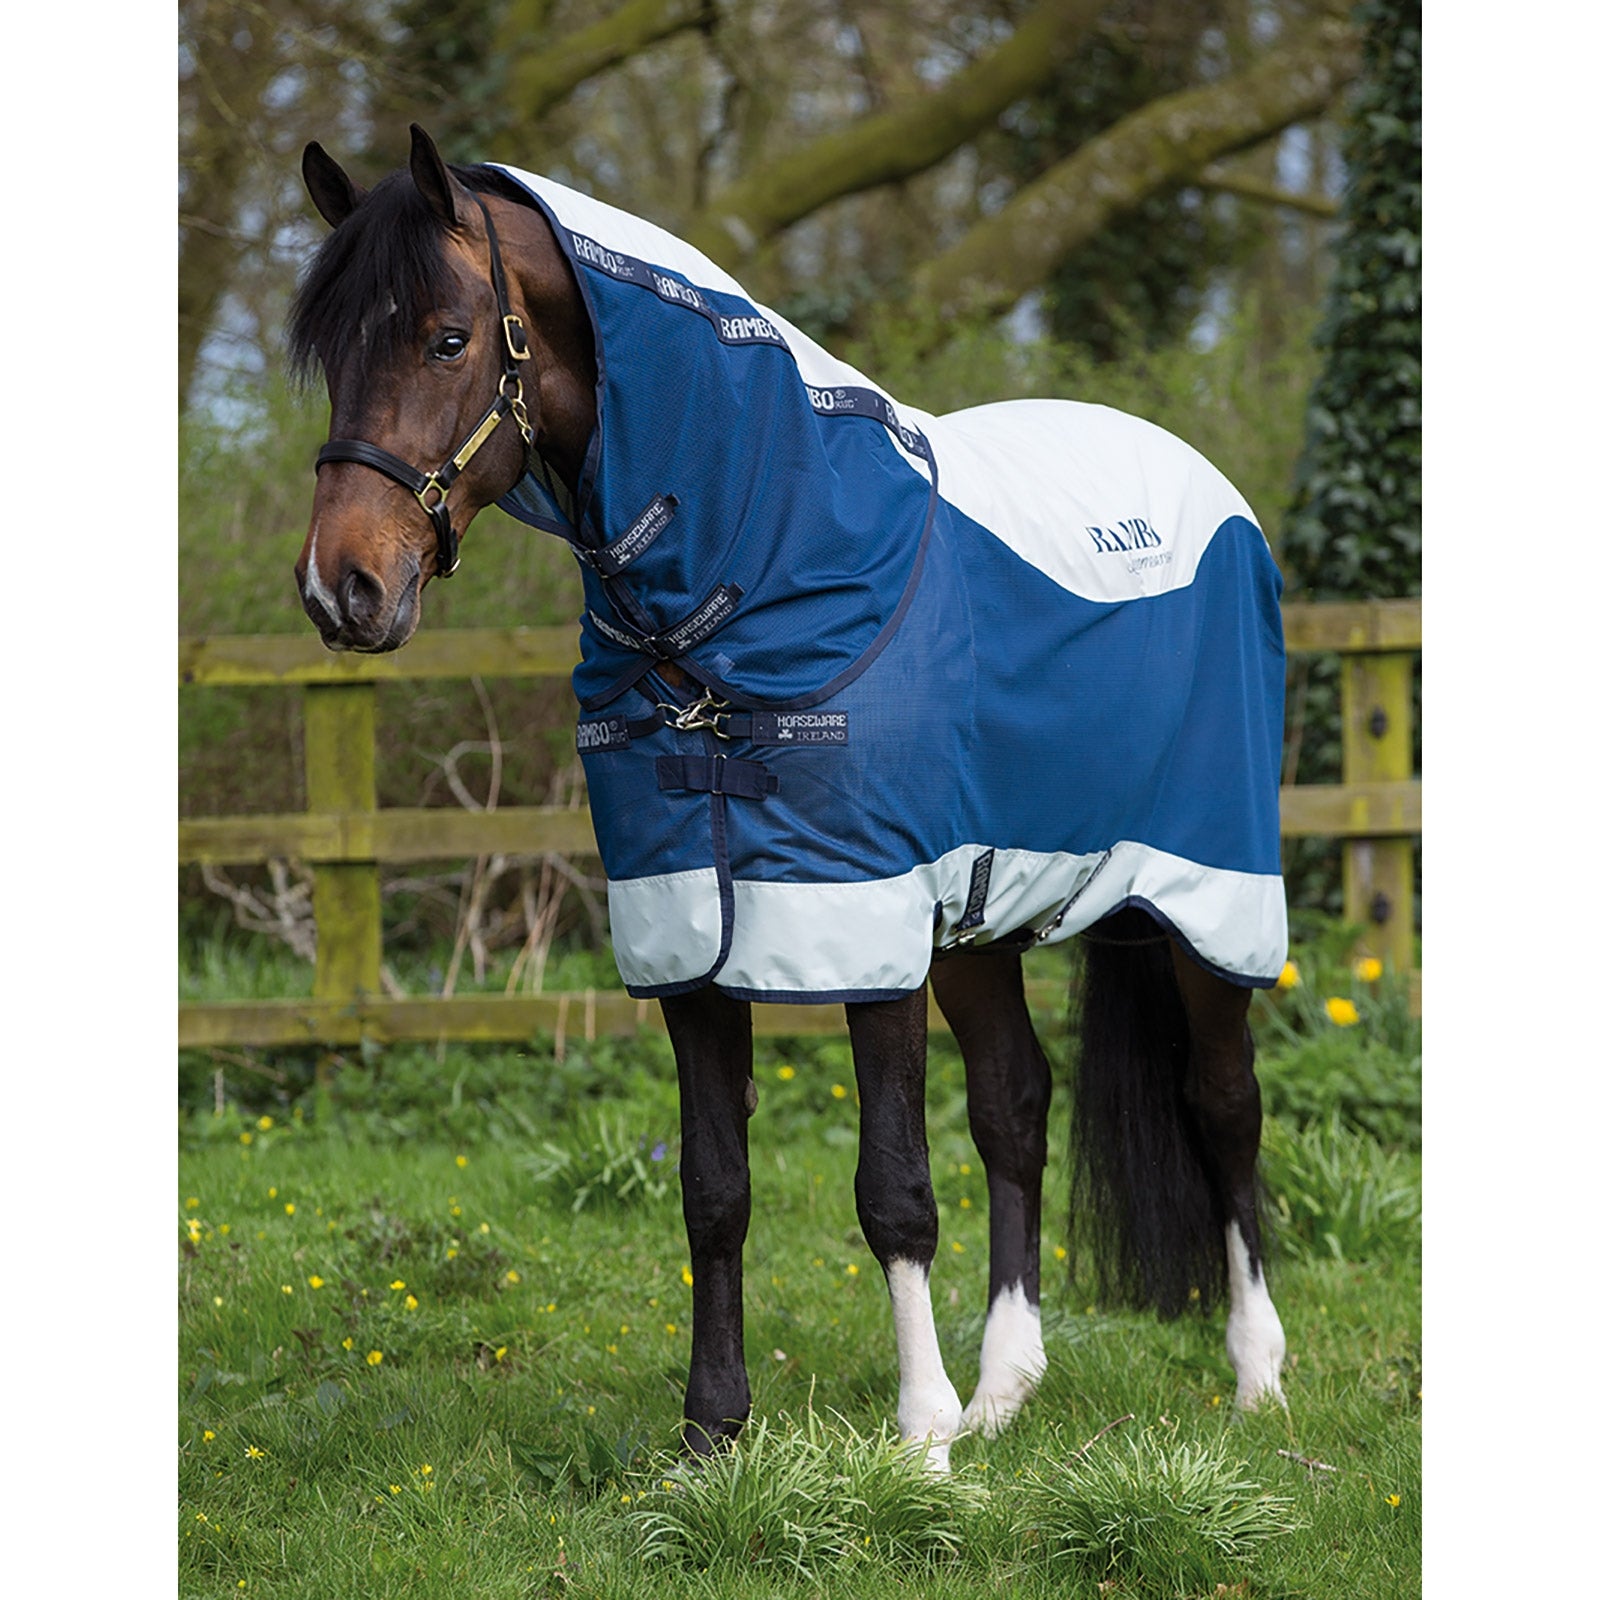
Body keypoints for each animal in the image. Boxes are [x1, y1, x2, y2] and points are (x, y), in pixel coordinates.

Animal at [288, 125, 1289, 1471]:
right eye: (331, 353)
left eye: (447, 339)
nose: (340, 588)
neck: (760, 574)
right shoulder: (687, 928)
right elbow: (715, 1186)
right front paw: (714, 1433)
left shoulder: (867, 922)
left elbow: (894, 1190)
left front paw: (918, 1443)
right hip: (985, 915)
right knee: (1016, 1108)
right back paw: (1005, 1389)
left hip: (1203, 890)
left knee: (1222, 1106)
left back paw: (1254, 1380)